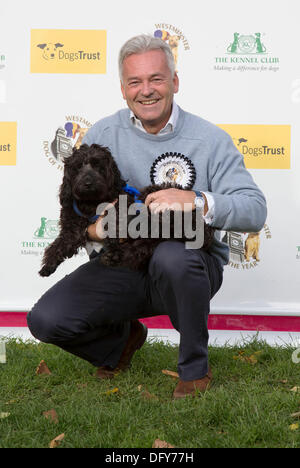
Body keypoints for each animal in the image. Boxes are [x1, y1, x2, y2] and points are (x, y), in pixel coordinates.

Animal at [38, 143, 214, 274]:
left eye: (98, 166)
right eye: (78, 167)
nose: (88, 183)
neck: (92, 203)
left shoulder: (122, 210)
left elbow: (115, 222)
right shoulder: (72, 227)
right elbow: (61, 243)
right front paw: (49, 264)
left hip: (158, 204)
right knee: (141, 249)